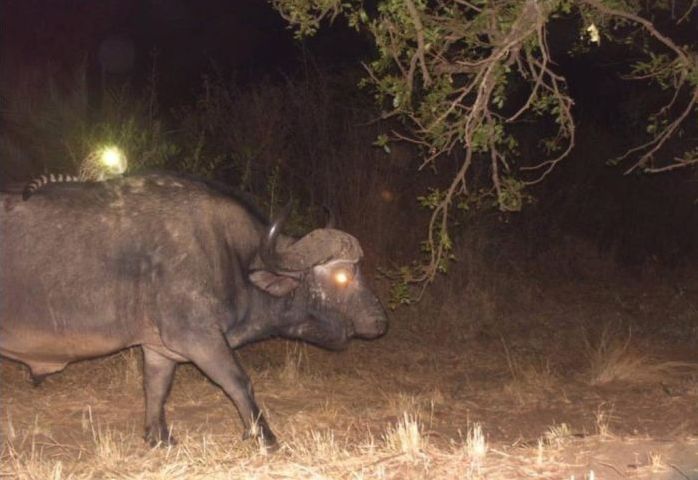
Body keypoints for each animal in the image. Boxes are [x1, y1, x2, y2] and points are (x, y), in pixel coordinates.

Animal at [0, 174, 386, 448]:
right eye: (342, 275)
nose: (380, 321)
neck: (229, 255)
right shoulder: (199, 339)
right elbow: (239, 382)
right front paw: (265, 437)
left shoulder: (159, 349)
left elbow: (156, 387)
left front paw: (158, 437)